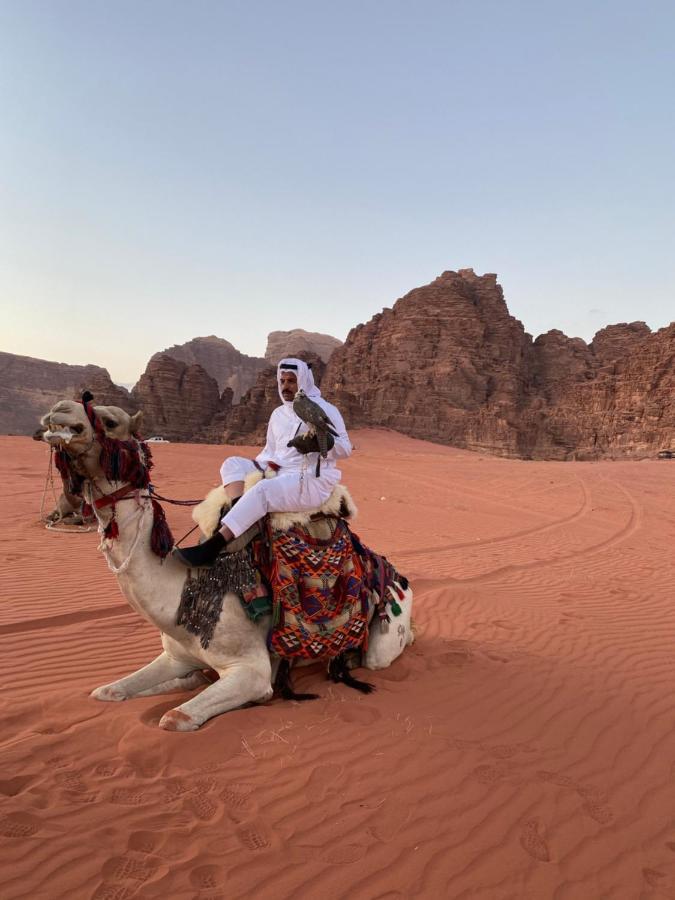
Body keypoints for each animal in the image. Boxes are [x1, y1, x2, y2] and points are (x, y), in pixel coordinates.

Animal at [42, 400, 414, 732]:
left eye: (110, 421)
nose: (58, 410)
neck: (184, 593)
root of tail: (396, 577)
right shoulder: (175, 656)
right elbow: (106, 691)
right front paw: (176, 682)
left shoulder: (251, 671)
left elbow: (175, 717)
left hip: (384, 638)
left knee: (381, 654)